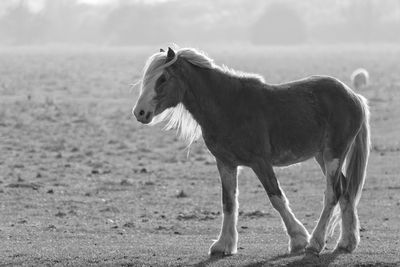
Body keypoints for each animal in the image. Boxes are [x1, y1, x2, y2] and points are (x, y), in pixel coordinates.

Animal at [133, 47, 370, 258]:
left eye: (163, 78)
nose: (140, 112)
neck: (228, 105)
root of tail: (353, 96)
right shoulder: (225, 163)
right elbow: (228, 202)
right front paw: (224, 245)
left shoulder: (260, 162)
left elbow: (276, 198)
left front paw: (298, 239)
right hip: (322, 156)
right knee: (346, 191)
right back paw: (346, 242)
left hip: (333, 155)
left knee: (333, 193)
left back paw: (315, 242)